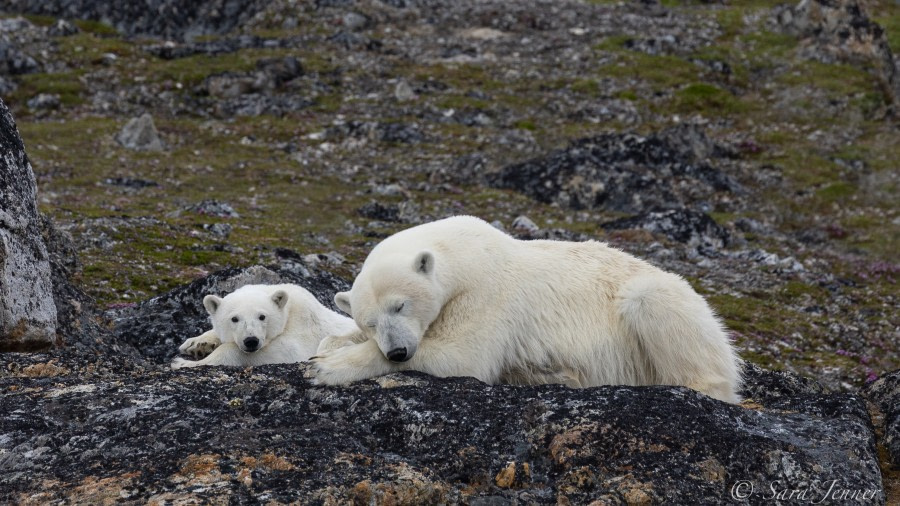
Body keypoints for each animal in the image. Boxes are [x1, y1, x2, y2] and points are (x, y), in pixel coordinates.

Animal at [172, 284, 356, 368]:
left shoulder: (303, 328)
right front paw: (196, 344)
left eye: (262, 316)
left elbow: (285, 350)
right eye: (234, 319)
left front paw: (182, 363)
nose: (251, 341)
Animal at [312, 215, 740, 402]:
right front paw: (330, 346)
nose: (398, 351)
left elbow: (462, 356)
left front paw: (328, 367)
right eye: (369, 322)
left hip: (663, 303)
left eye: (400, 305)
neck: (465, 254)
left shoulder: (486, 293)